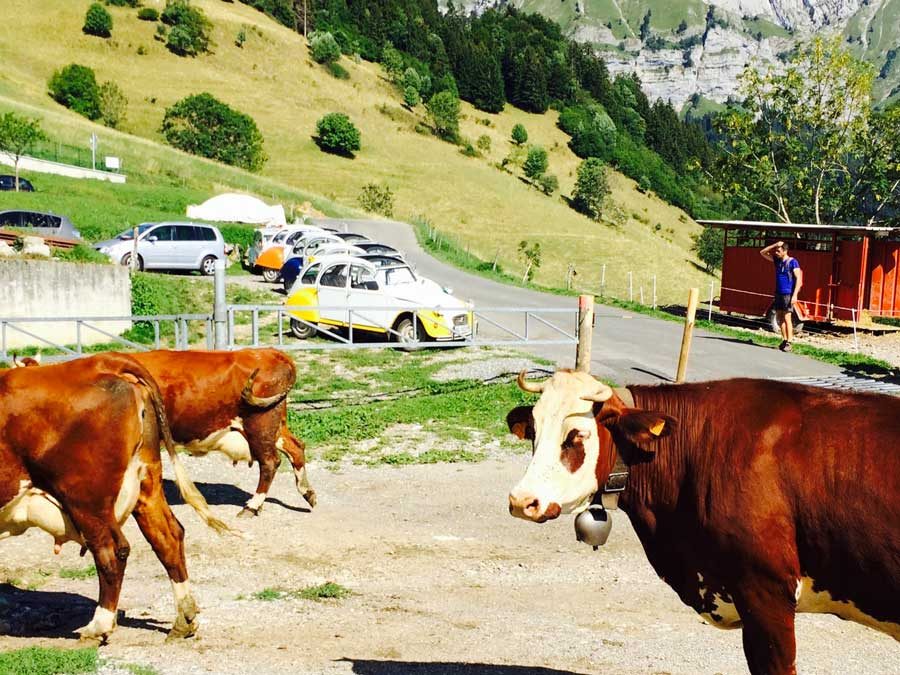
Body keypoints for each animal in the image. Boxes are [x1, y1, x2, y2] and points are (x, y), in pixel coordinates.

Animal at [0, 352, 232, 640]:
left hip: (86, 499)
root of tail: (104, 361)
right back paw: (184, 618)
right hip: (146, 484)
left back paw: (99, 625)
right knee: (168, 537)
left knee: (111, 551)